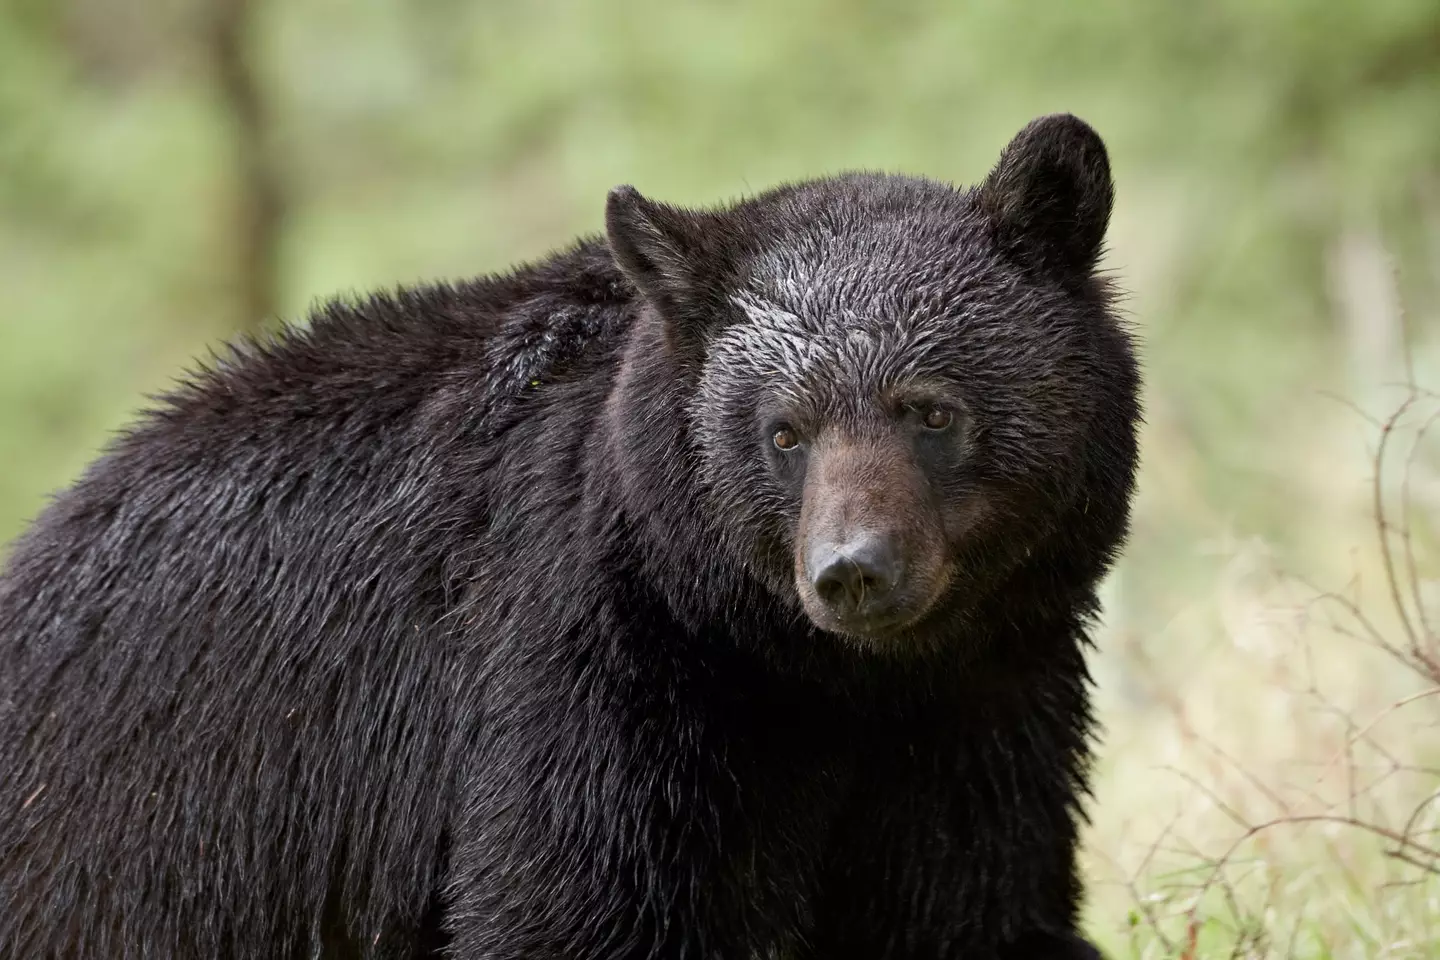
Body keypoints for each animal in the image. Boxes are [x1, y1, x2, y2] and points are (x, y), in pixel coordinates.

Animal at [5, 114, 1140, 960]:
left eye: (930, 411)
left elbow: (968, 900)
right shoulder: (600, 671)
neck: (822, 682)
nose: (852, 572)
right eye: (784, 430)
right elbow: (581, 905)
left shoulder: (984, 705)